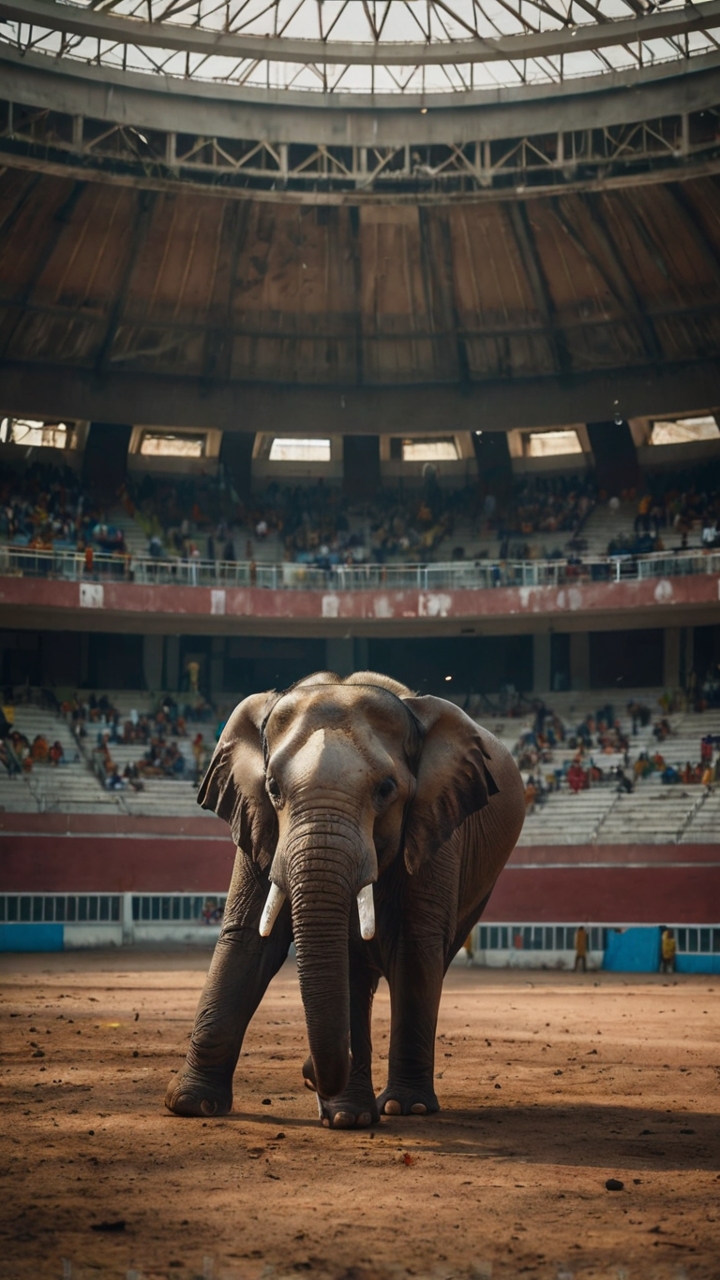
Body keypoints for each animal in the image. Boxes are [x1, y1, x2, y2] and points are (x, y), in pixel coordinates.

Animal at [165, 671, 525, 1129]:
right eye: (273, 788)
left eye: (386, 789)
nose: (309, 1075)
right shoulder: (257, 823)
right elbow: (248, 937)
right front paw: (190, 1105)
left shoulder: (438, 828)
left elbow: (415, 947)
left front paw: (403, 1108)